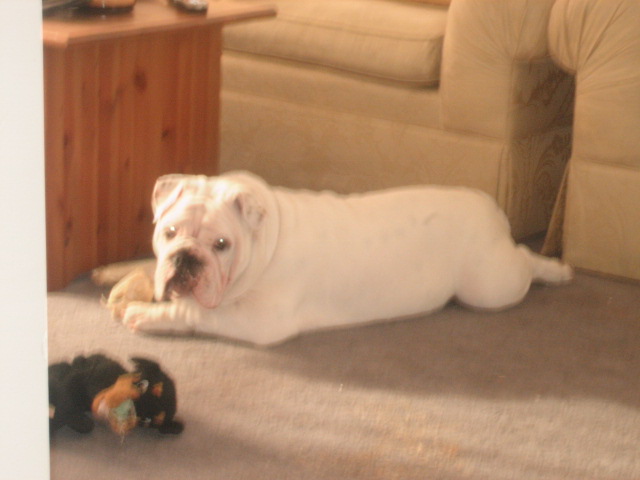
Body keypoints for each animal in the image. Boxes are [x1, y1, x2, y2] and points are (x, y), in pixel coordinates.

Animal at [94, 171, 572, 346]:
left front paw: (146, 313)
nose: (187, 261)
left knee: (523, 262)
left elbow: (198, 312)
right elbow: (149, 267)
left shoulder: (259, 321)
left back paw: (556, 267)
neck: (266, 235)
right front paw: (118, 272)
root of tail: (492, 208)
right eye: (169, 232)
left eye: (222, 245)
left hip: (489, 284)